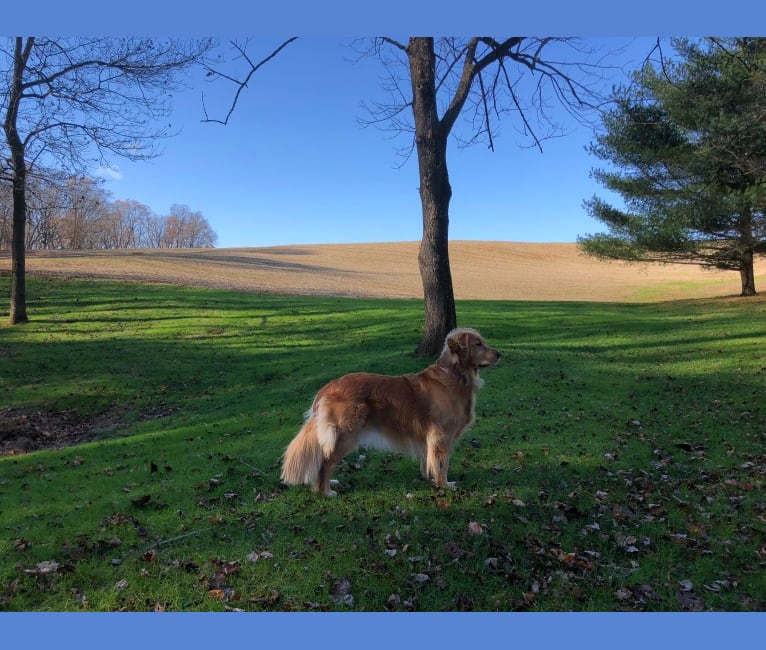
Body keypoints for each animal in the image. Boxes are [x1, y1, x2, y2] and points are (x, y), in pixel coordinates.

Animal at [280, 326, 500, 494]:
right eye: (478, 344)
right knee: (325, 463)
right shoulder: (441, 436)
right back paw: (325, 491)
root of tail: (327, 387)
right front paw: (445, 485)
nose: (500, 354)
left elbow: (429, 461)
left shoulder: (429, 438)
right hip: (345, 435)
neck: (454, 375)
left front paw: (429, 479)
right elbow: (442, 464)